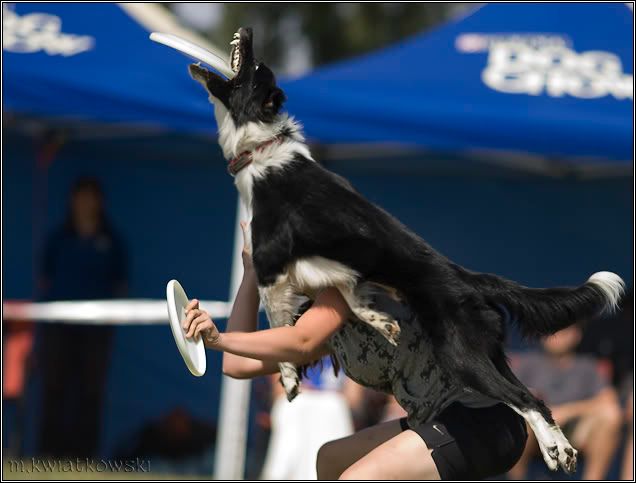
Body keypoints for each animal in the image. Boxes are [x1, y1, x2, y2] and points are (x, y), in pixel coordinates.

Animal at [188, 27, 624, 474]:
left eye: (254, 67)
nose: (248, 32)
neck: (262, 148)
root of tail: (467, 277)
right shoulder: (331, 268)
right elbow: (348, 293)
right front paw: (380, 321)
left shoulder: (273, 269)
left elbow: (280, 323)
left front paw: (291, 377)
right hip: (489, 352)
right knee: (533, 396)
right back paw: (560, 448)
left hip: (461, 354)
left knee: (525, 398)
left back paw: (556, 451)